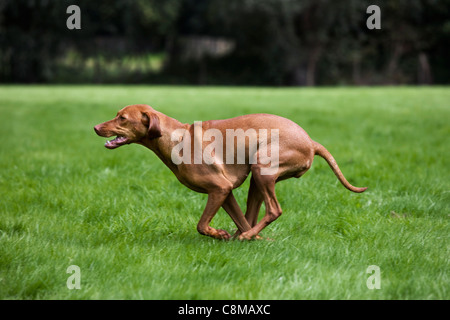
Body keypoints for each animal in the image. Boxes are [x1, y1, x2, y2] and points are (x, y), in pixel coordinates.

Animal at [94, 104, 366, 240]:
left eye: (122, 118)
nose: (96, 127)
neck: (177, 137)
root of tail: (311, 142)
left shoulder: (220, 189)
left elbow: (201, 225)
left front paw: (220, 234)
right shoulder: (224, 194)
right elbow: (240, 219)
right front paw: (241, 237)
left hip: (262, 167)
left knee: (274, 210)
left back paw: (245, 237)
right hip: (257, 179)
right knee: (251, 218)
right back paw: (249, 238)